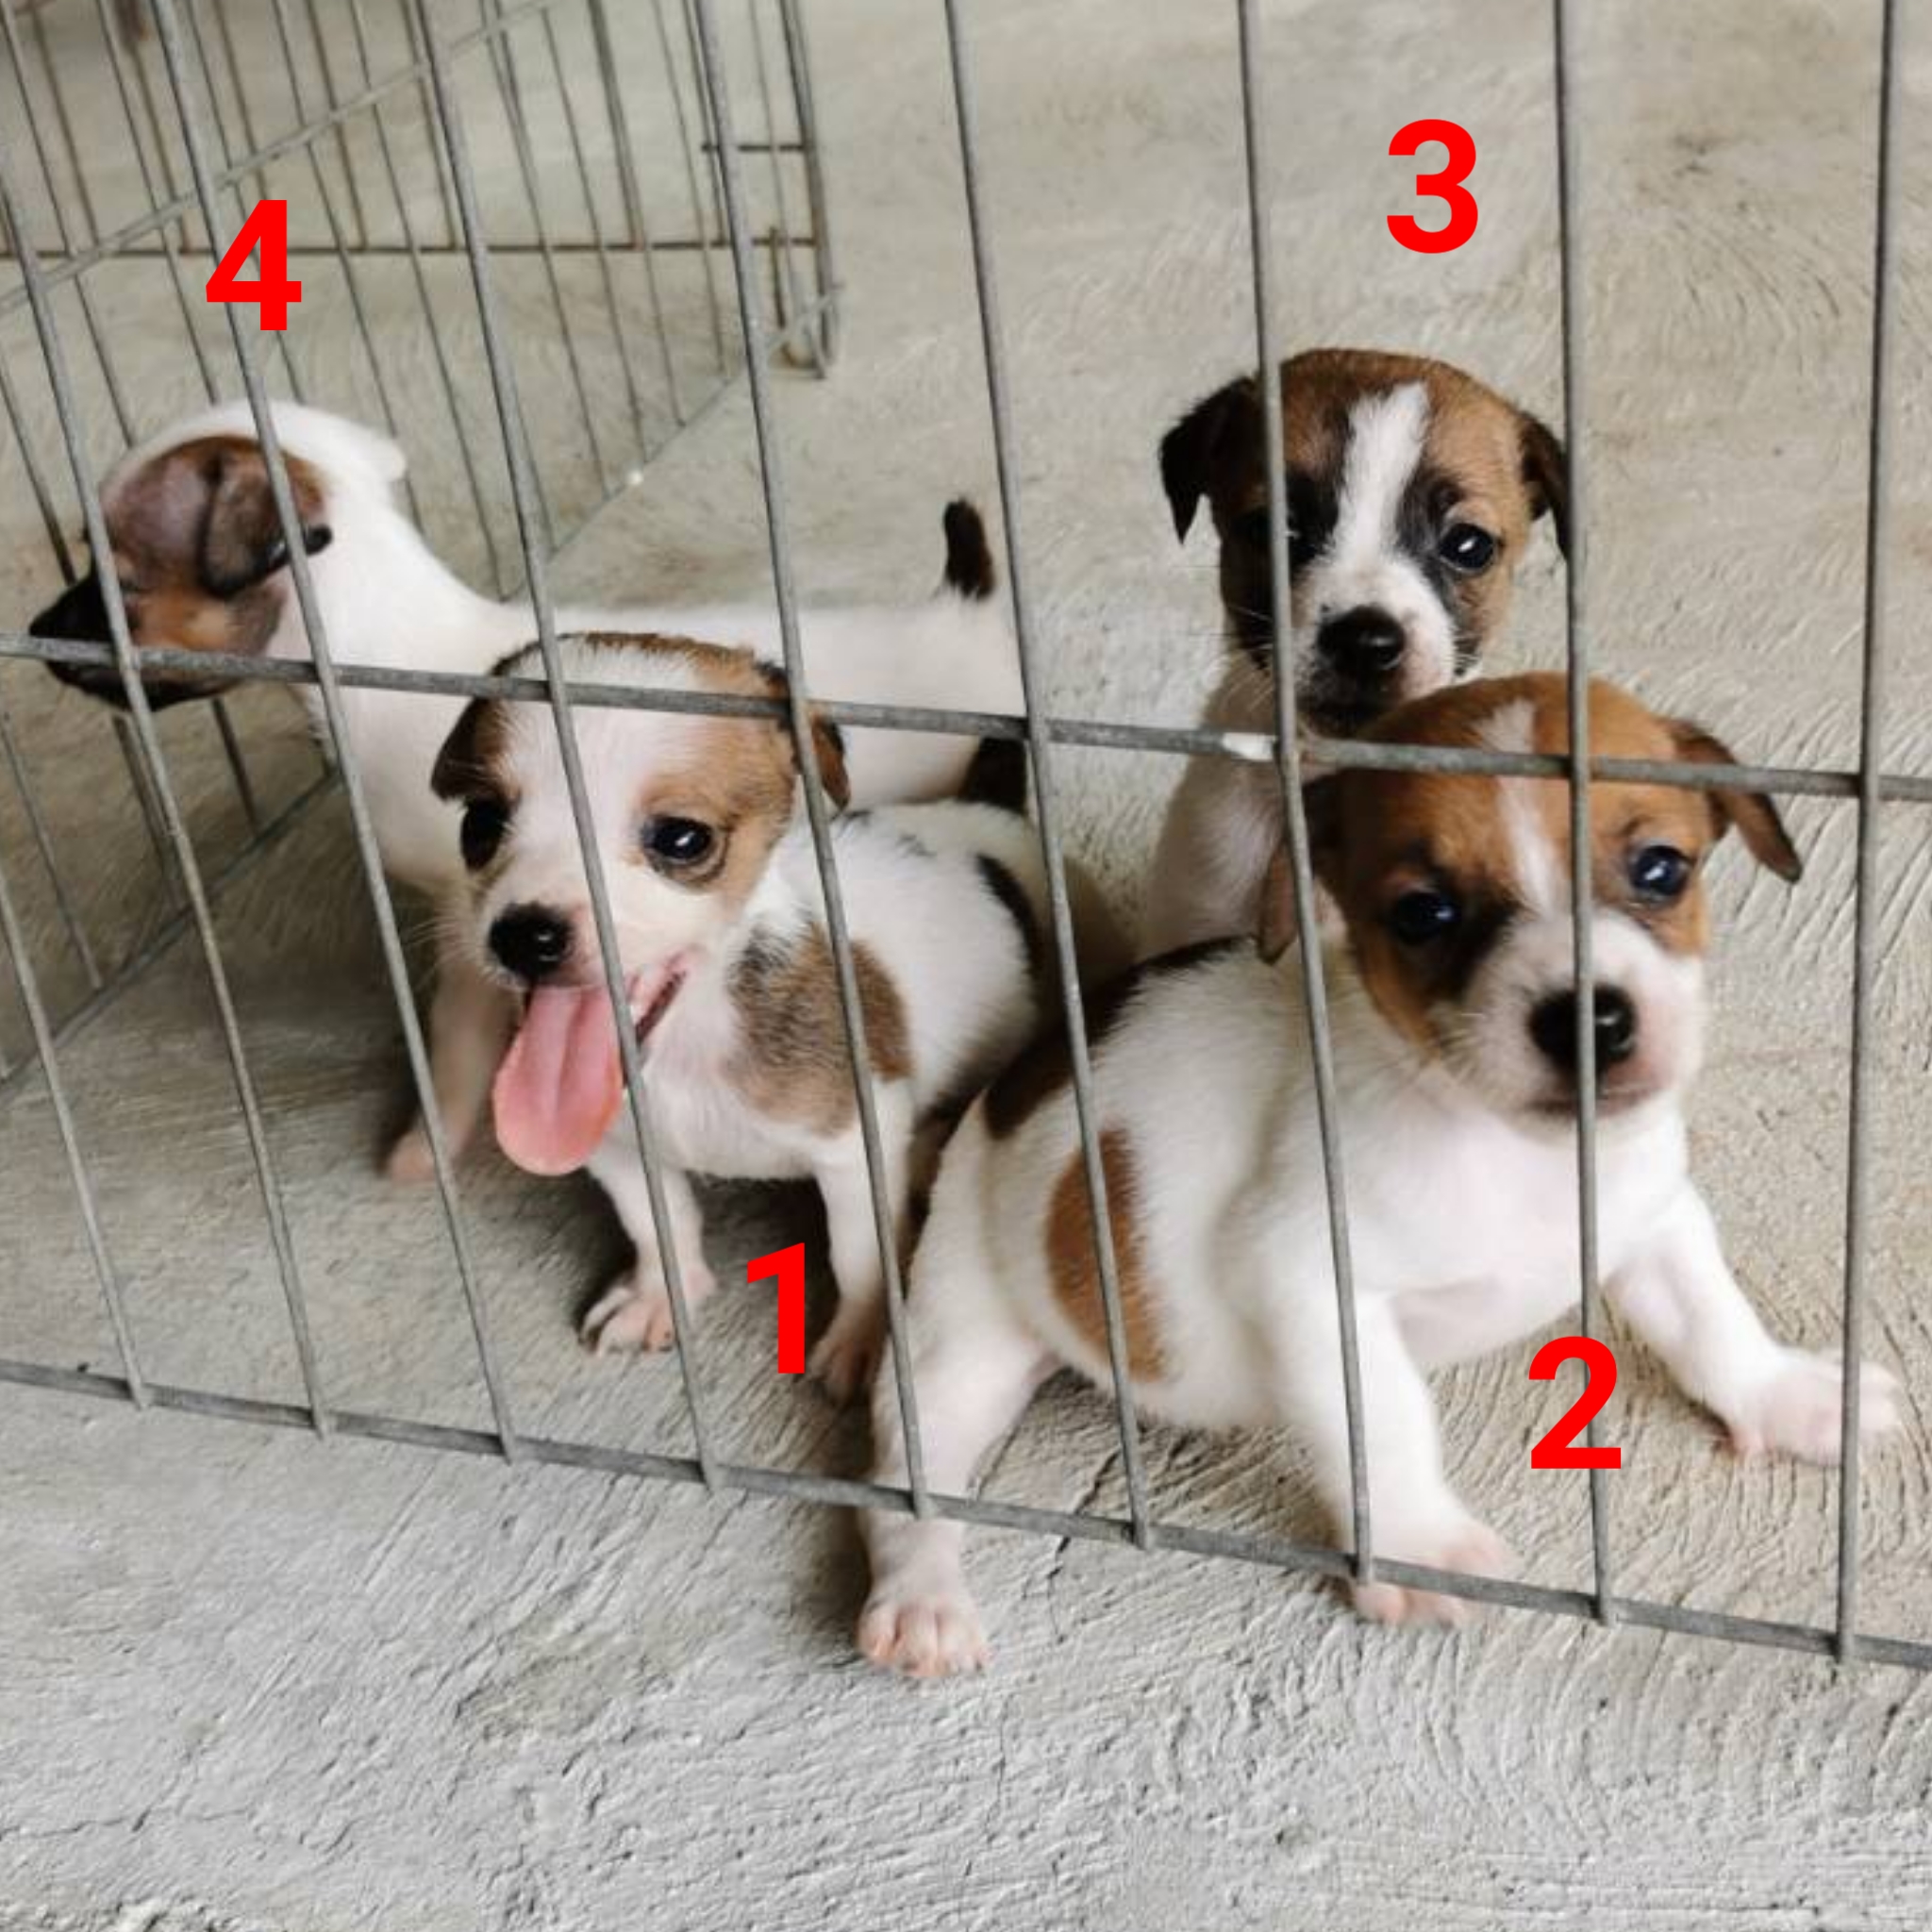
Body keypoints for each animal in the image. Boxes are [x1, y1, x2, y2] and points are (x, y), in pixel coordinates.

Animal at [28, 402, 1024, 1174]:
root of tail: (968, 612)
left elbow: (457, 1048)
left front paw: (425, 1151)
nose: (34, 633)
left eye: (116, 584)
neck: (385, 656)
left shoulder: (464, 929)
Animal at [433, 631, 1122, 1401]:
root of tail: (987, 809)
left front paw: (862, 1335)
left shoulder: (854, 1146)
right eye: (480, 822)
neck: (687, 1046)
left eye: (682, 839)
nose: (525, 936)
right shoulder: (614, 1149)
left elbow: (859, 1254)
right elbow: (657, 1220)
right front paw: (662, 1293)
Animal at [856, 671, 1900, 1676]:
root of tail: (1007, 1088)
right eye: (1421, 914)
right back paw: (923, 1597)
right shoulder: (1311, 1287)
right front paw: (1417, 1544)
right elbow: (1387, 1423)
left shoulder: (1654, 1217)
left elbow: (1711, 1317)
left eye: (1660, 869)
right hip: (962, 1342)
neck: (1514, 1149)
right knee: (909, 1475)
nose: (1588, 1019)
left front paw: (1788, 1397)